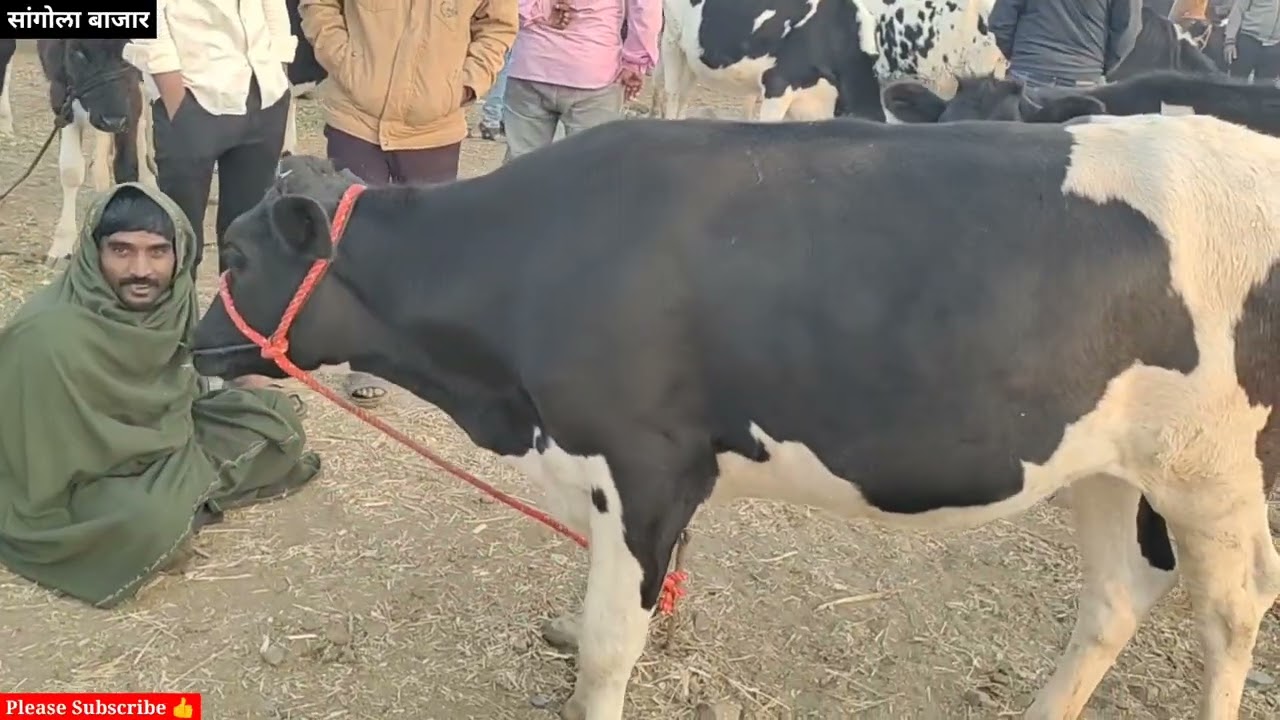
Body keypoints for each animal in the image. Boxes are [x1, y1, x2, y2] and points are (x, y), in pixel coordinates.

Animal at [37, 40, 155, 266]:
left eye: (127, 50)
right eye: (78, 53)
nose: (113, 121)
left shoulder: (132, 99)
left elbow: (126, 166)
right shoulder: (60, 95)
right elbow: (71, 171)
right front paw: (62, 246)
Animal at [189, 114, 1280, 720]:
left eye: (234, 256)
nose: (194, 346)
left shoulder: (646, 463)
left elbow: (608, 647)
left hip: (1212, 469)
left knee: (1232, 611)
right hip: (1110, 461)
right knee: (1117, 592)